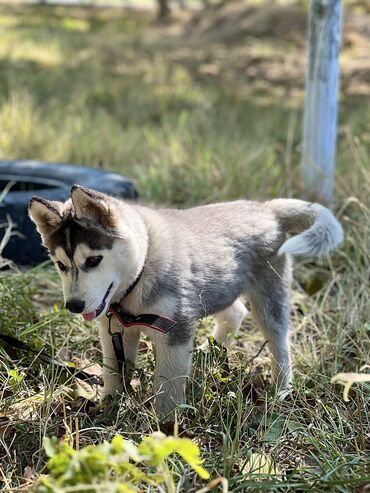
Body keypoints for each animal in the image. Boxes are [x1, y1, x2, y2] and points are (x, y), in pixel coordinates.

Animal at [29, 186, 344, 414]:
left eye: (94, 260)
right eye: (60, 265)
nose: (73, 306)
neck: (141, 271)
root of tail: (267, 209)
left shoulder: (174, 331)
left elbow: (167, 387)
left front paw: (163, 428)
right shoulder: (115, 331)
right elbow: (114, 373)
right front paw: (108, 406)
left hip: (269, 299)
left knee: (280, 344)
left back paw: (281, 389)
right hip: (218, 286)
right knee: (235, 312)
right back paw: (210, 351)